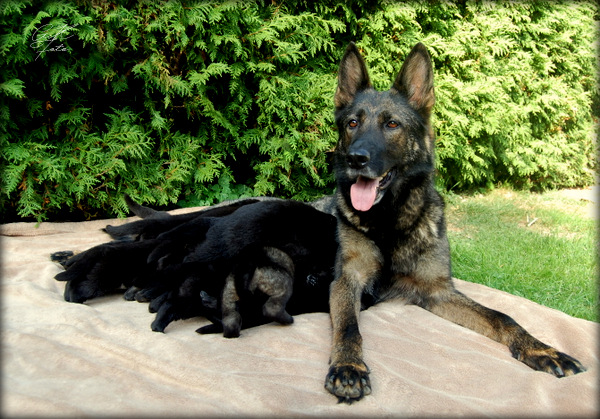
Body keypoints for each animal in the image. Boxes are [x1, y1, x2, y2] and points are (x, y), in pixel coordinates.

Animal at [323, 42, 585, 403]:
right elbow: (349, 326)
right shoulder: (347, 281)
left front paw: (541, 349)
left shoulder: (438, 292)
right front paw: (349, 366)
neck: (391, 222)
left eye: (392, 125)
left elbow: (503, 317)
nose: (355, 159)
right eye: (352, 123)